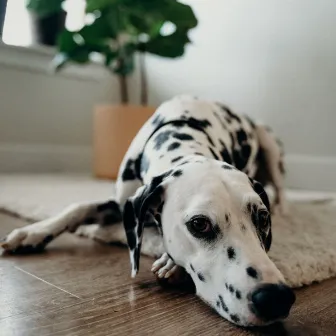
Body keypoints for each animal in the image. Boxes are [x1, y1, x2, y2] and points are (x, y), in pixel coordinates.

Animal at [0, 96, 294, 326]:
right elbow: (77, 208)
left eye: (262, 218)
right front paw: (31, 233)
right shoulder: (122, 204)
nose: (276, 297)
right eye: (199, 224)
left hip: (269, 143)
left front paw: (170, 263)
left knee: (281, 190)